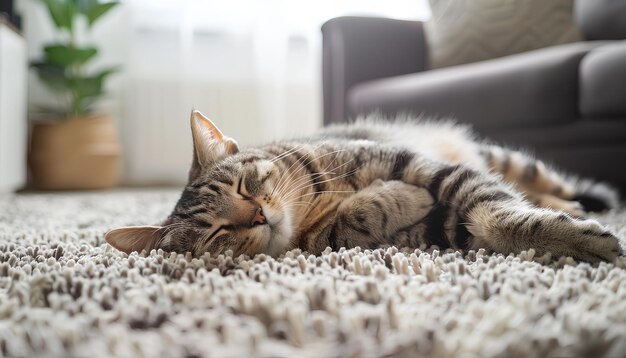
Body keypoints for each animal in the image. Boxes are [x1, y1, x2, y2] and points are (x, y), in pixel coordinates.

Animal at [106, 111, 620, 262]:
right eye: (215, 232)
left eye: (243, 186)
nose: (258, 215)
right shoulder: (436, 229)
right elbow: (354, 218)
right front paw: (394, 199)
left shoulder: (418, 162)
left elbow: (498, 212)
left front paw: (574, 239)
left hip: (508, 160)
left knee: (544, 184)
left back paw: (584, 203)